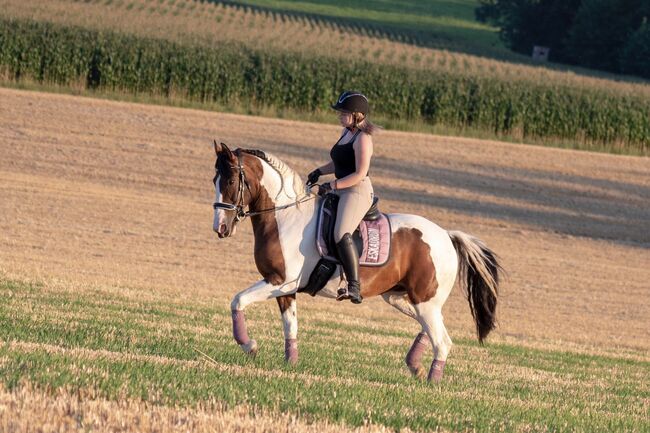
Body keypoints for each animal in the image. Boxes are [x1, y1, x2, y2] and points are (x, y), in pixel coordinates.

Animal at [213, 142, 502, 382]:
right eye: (214, 179)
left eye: (230, 180)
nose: (220, 228)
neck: (286, 219)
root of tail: (446, 235)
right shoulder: (285, 290)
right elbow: (290, 326)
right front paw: (290, 364)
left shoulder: (280, 282)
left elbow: (238, 300)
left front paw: (249, 346)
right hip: (402, 298)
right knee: (431, 330)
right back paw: (415, 366)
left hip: (424, 302)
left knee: (442, 341)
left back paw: (431, 382)